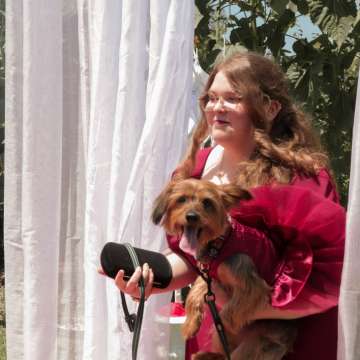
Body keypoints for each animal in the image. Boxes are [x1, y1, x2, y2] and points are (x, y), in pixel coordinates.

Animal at [151, 179, 296, 360]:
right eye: (181, 199)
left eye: (207, 202)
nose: (192, 216)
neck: (219, 244)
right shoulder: (208, 273)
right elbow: (195, 292)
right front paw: (191, 325)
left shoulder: (252, 285)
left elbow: (225, 315)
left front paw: (226, 324)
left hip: (258, 343)